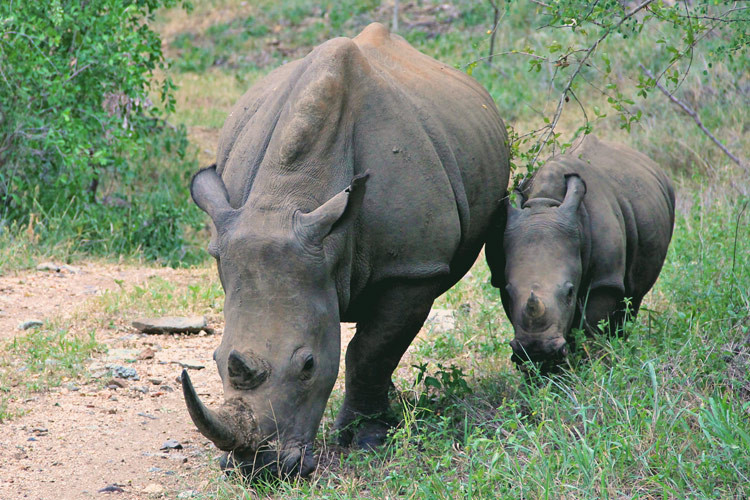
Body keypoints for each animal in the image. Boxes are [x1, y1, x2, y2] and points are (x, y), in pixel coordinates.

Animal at [183, 23, 512, 476]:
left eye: (308, 366)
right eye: (215, 359)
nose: (258, 467)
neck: (287, 200)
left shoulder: (412, 269)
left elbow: (371, 352)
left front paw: (365, 440)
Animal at [490, 135, 680, 366]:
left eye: (570, 292)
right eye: (509, 291)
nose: (538, 351)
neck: (545, 203)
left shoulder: (604, 280)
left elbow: (592, 327)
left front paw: (592, 365)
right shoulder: (502, 278)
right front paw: (540, 372)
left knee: (632, 299)